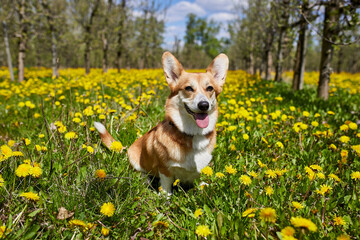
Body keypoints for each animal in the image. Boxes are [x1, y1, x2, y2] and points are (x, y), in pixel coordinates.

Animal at [93, 51, 228, 194]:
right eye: (188, 88)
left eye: (210, 88)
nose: (204, 105)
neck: (192, 134)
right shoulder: (165, 168)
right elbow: (166, 185)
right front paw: (165, 196)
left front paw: (203, 186)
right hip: (134, 159)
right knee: (141, 174)